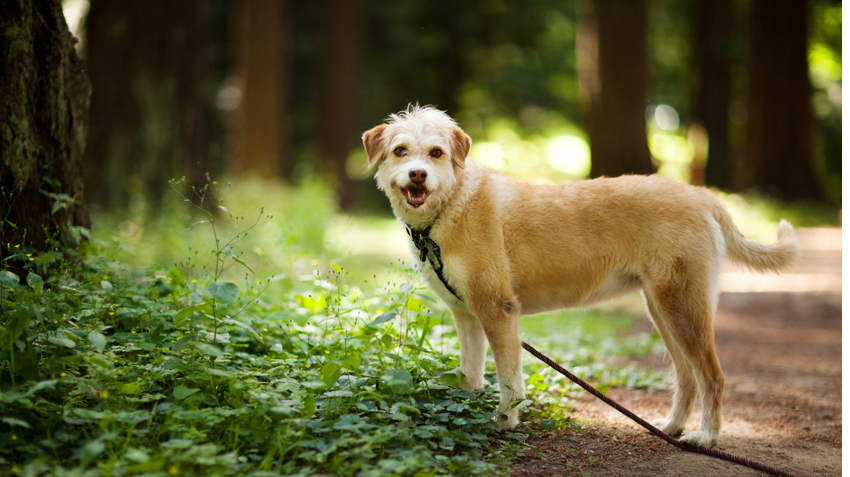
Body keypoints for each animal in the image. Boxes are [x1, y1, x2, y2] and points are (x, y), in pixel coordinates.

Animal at [362, 103, 800, 446]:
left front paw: (505, 422)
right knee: (687, 377)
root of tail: (701, 195)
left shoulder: (498, 312)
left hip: (684, 310)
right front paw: (469, 412)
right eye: (401, 151)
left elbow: (509, 381)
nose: (417, 175)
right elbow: (470, 376)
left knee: (712, 377)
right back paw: (673, 427)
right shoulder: (467, 316)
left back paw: (706, 437)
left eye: (436, 153)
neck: (452, 206)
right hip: (664, 311)